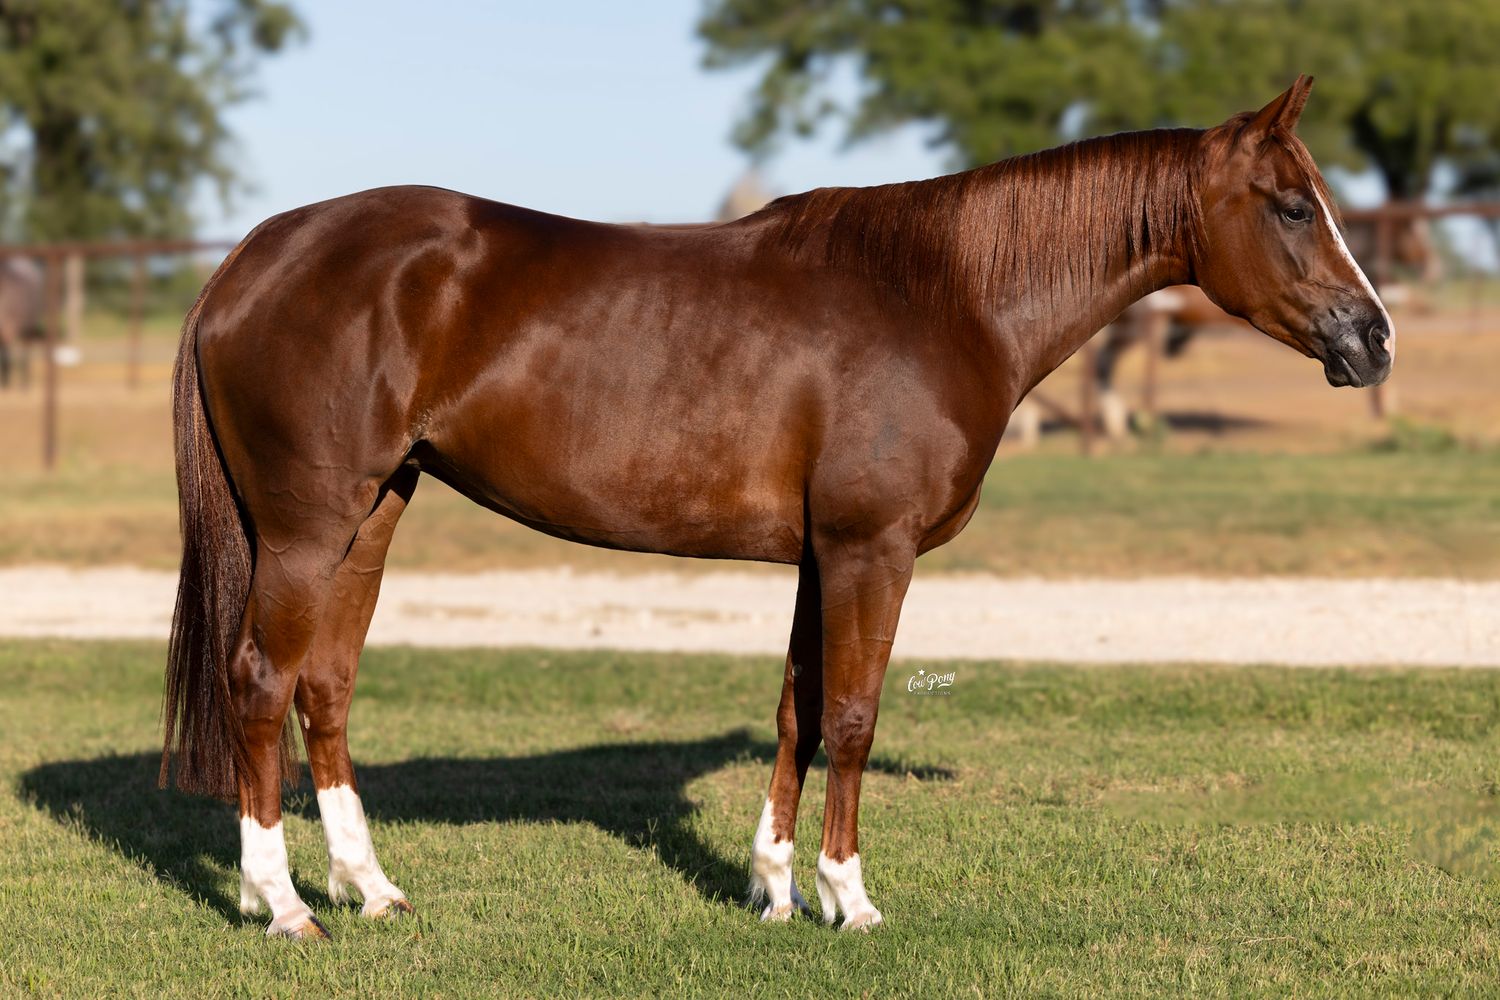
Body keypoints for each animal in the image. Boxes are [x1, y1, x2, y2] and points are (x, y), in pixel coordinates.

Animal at [160, 75, 1392, 938]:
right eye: (1293, 207)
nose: (1373, 339)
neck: (945, 294)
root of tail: (255, 253)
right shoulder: (871, 549)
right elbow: (851, 714)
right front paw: (853, 899)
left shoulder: (819, 554)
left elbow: (799, 708)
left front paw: (777, 890)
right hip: (307, 530)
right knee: (260, 681)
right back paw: (282, 904)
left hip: (373, 515)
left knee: (326, 686)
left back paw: (370, 886)